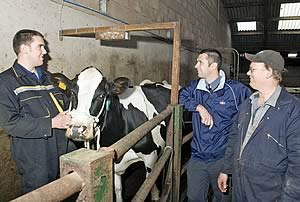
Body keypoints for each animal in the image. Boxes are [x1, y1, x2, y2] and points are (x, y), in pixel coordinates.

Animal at [54, 66, 172, 200]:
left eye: (101, 95)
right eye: (72, 93)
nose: (77, 129)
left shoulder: (151, 156)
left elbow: (152, 188)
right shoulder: (114, 165)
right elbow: (118, 190)